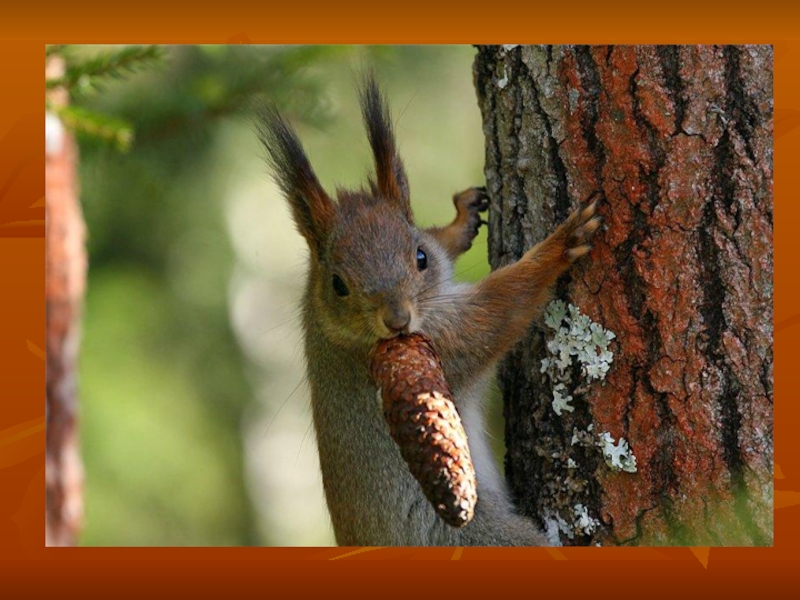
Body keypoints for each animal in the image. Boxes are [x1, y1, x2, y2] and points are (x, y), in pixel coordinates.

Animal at [256, 77, 600, 548]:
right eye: (338, 285)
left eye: (420, 256)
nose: (397, 320)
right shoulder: (446, 341)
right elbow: (498, 310)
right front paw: (559, 246)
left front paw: (461, 220)